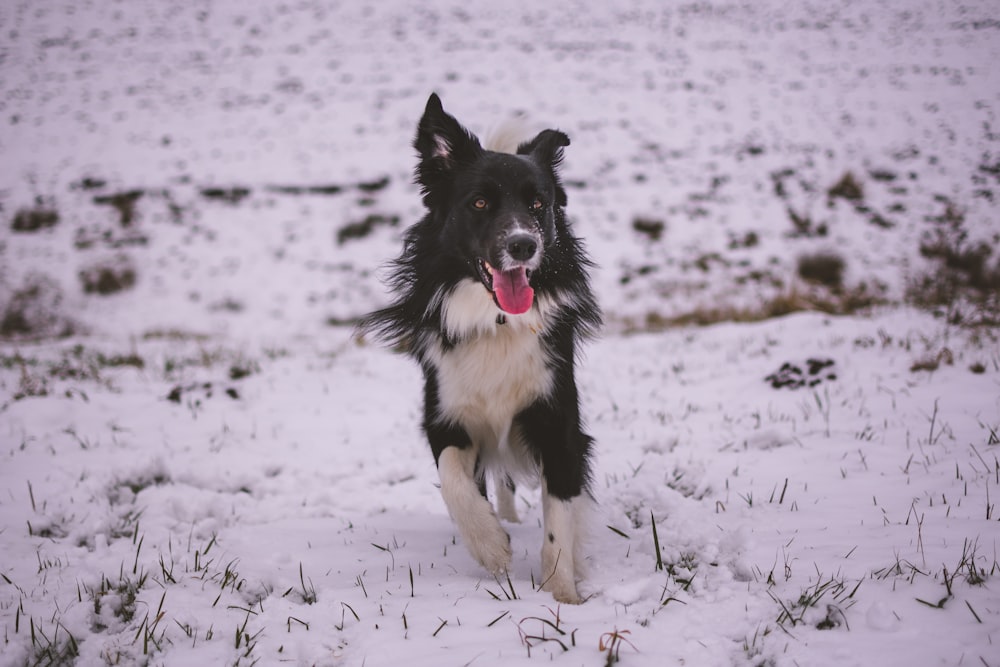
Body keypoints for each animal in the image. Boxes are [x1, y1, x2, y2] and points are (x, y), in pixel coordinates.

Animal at [364, 94, 604, 604]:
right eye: (479, 202)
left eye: (538, 204)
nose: (523, 245)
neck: (497, 321)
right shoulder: (446, 412)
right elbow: (455, 483)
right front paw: (492, 547)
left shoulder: (557, 421)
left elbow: (560, 517)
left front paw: (563, 596)